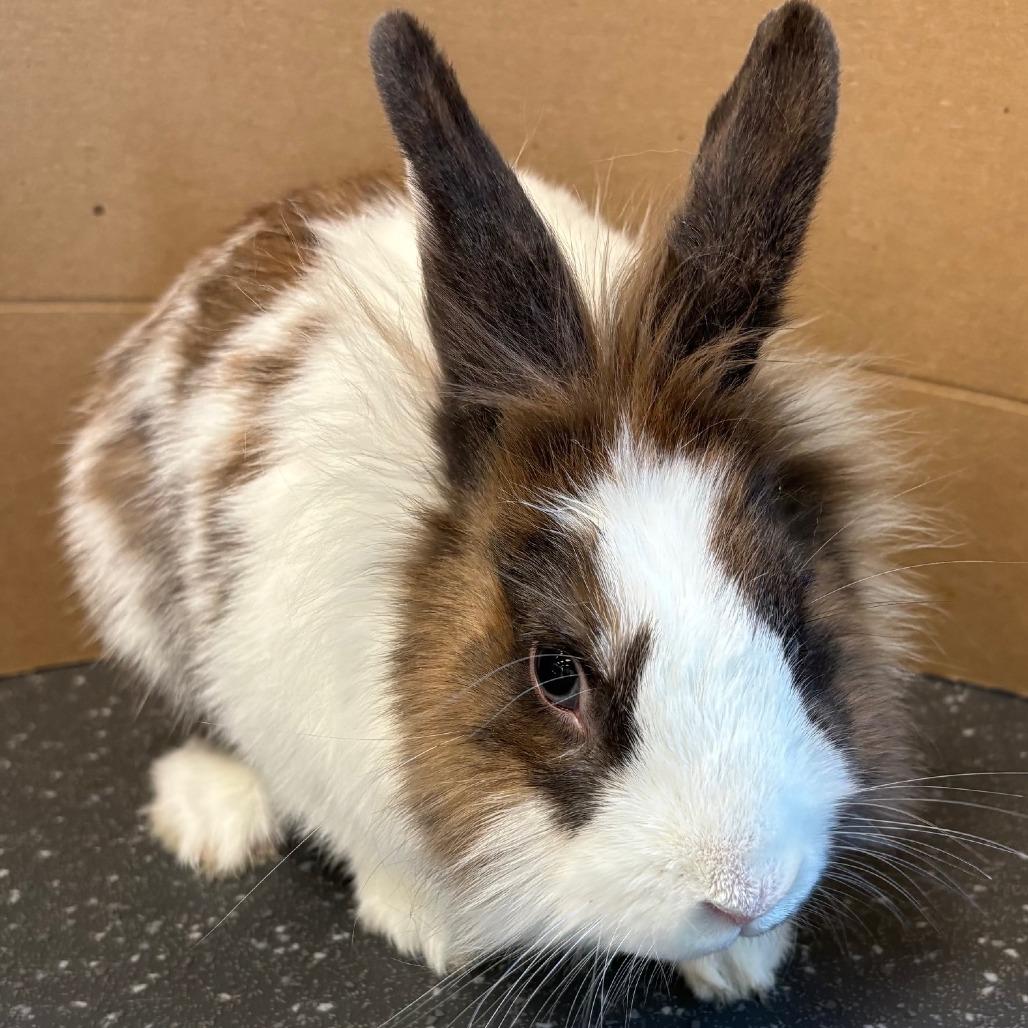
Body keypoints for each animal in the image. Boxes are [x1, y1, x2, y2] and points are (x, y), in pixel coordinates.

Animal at [62, 1, 923, 1004]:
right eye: (555, 673)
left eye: (791, 615)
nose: (748, 892)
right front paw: (426, 924)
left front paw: (742, 967)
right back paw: (216, 822)